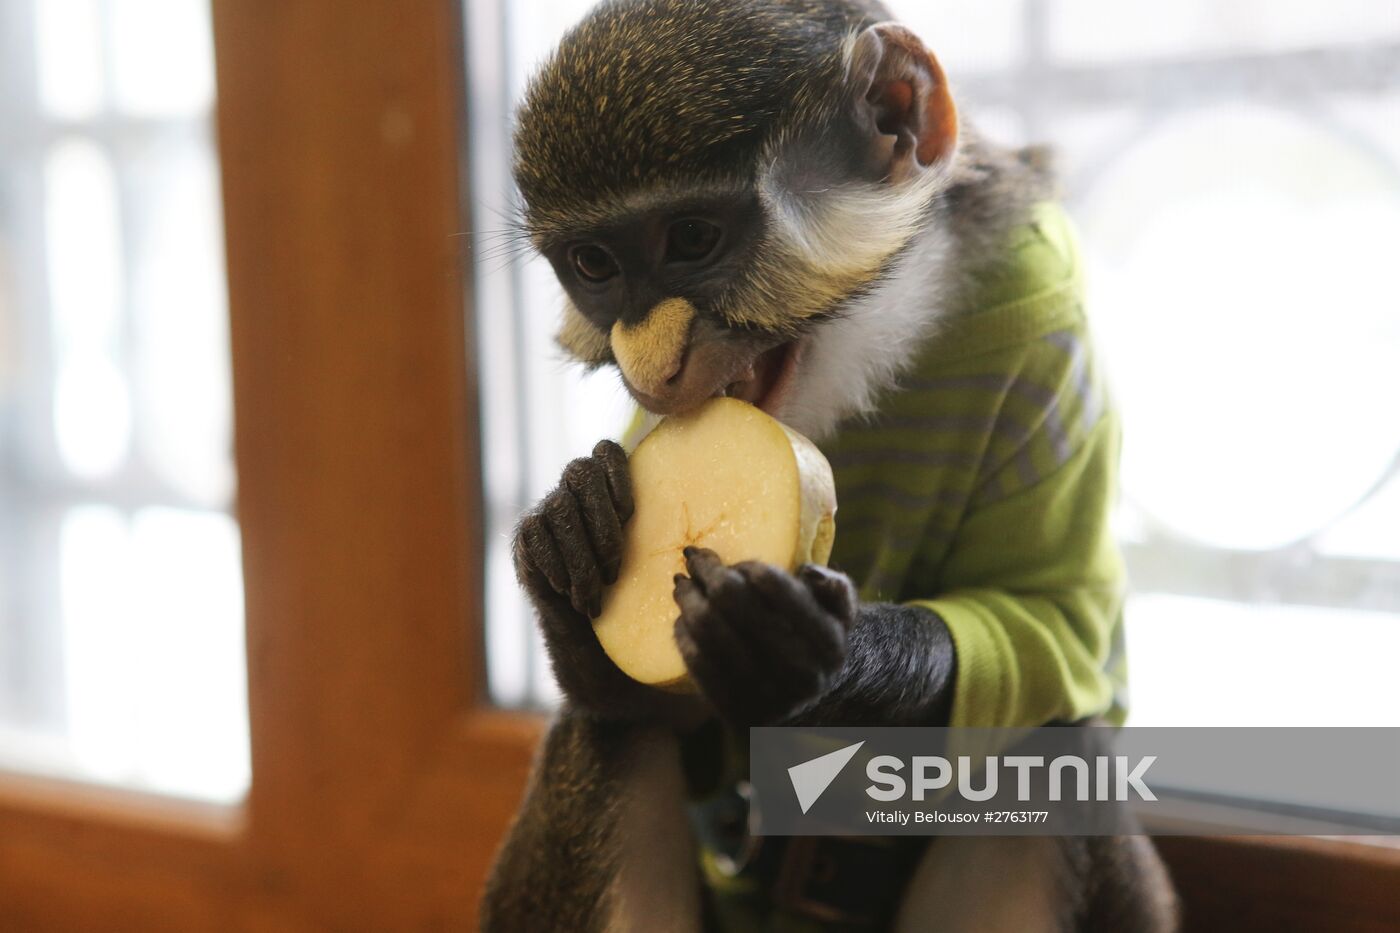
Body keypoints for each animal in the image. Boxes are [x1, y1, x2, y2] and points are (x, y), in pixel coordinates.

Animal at [480, 1, 1180, 930]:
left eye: (692, 239)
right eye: (594, 265)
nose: (654, 370)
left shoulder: (1045, 317)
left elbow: (1055, 625)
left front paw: (832, 650)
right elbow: (641, 705)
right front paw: (567, 538)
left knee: (1055, 749)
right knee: (611, 736)